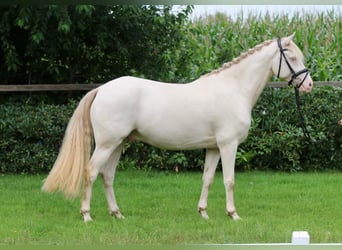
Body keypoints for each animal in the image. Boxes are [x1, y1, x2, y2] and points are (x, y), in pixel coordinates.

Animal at [42, 33, 312, 223]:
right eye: (292, 57)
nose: (308, 85)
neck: (234, 89)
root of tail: (102, 89)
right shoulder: (228, 145)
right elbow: (229, 180)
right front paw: (233, 214)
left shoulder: (213, 147)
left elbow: (208, 178)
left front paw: (203, 212)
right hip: (107, 144)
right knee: (91, 172)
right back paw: (87, 215)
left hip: (118, 144)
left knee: (107, 175)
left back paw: (117, 214)